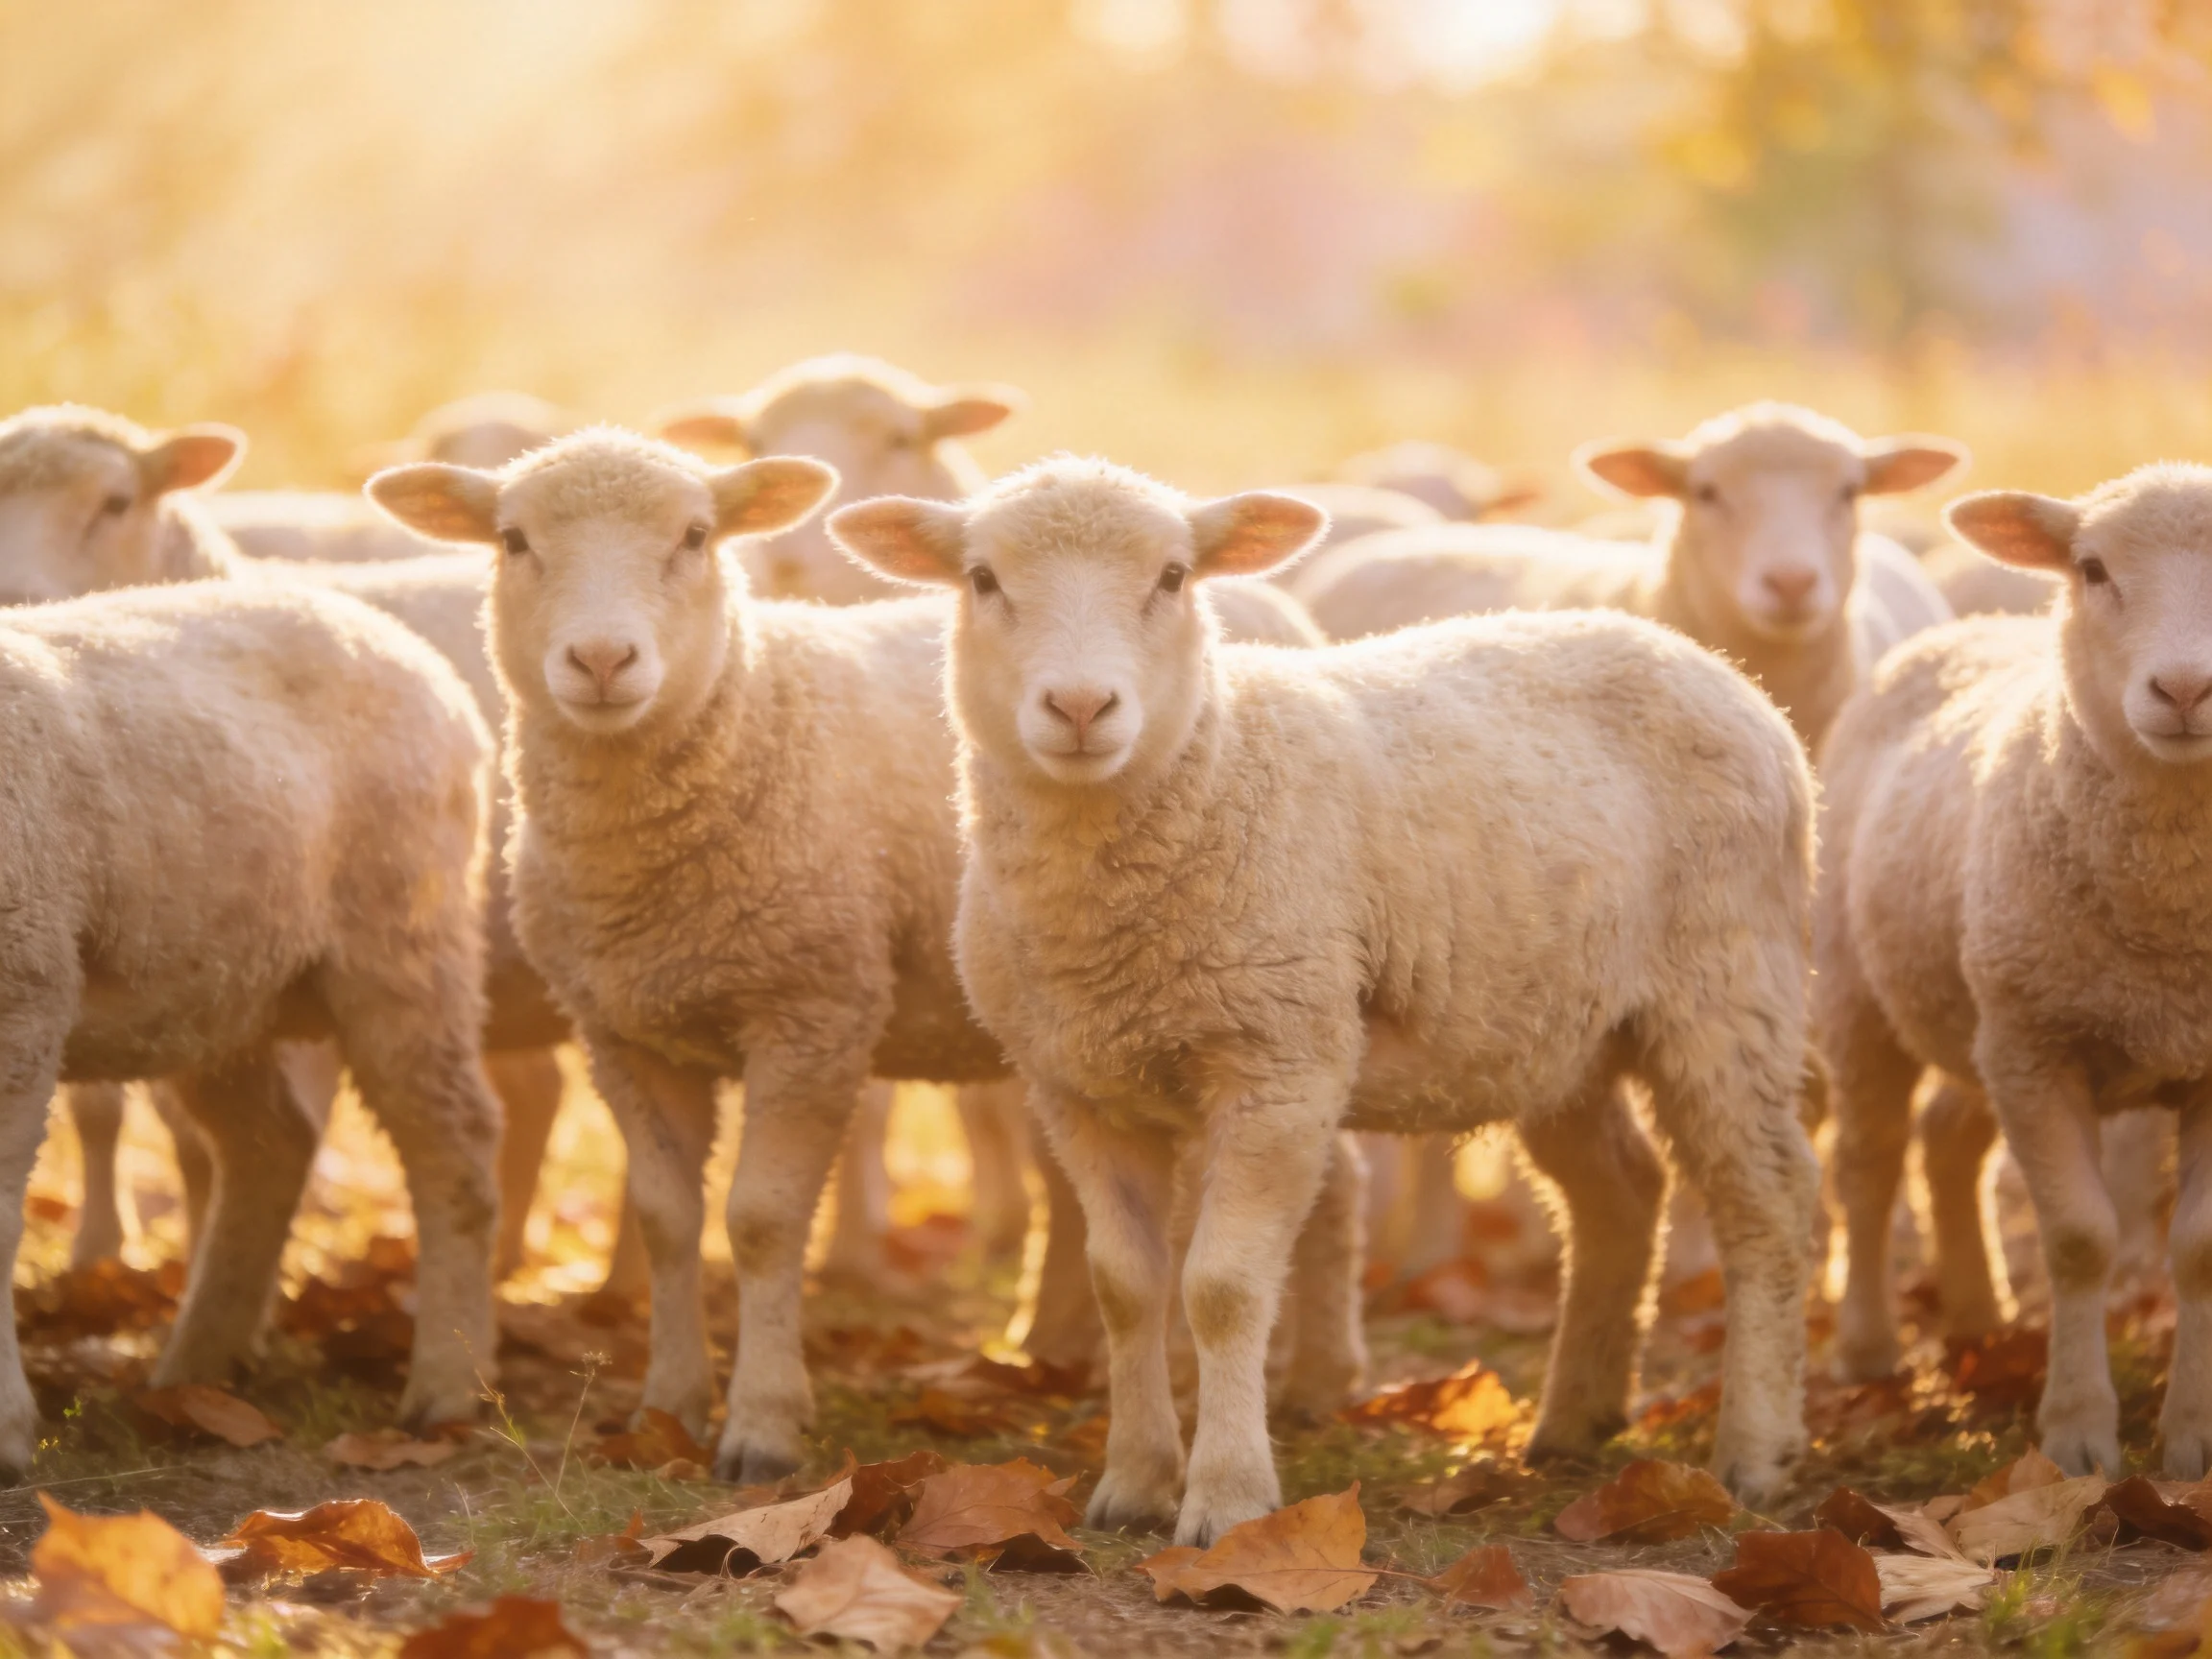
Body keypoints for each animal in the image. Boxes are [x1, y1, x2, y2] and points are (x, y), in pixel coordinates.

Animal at [0, 581, 502, 1472]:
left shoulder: (25, 994)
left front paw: (5, 1431)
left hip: (403, 932)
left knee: (456, 1144)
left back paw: (446, 1388)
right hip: (223, 996)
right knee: (271, 1146)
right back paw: (198, 1371)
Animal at [829, 456, 1821, 1543]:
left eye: (1173, 576)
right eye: (982, 580)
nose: (1082, 706)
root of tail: (1712, 666)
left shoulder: (1281, 1061)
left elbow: (1220, 1288)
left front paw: (1227, 1500)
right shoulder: (1078, 1084)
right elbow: (1127, 1288)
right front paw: (1133, 1484)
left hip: (1726, 985)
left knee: (1767, 1205)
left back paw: (1756, 1452)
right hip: (1562, 1030)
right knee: (1621, 1195)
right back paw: (1573, 1425)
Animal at [1817, 464, 2212, 1476]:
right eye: (2092, 569)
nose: (2184, 688)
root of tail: (1967, 629)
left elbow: (2196, 1248)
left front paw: (2192, 1438)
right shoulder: (2040, 1054)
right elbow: (2079, 1241)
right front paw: (2076, 1436)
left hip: (1983, 1006)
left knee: (1946, 1142)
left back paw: (1977, 1314)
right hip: (1868, 994)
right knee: (1870, 1159)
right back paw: (1868, 1347)